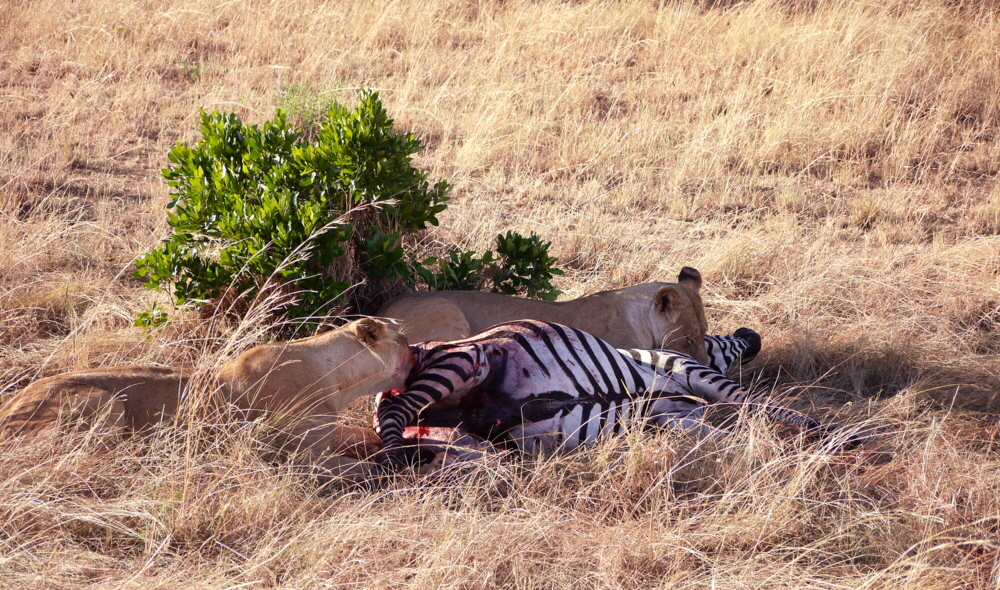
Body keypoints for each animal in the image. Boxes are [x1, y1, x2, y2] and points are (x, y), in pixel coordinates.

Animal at [375, 320, 830, 470]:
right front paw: (829, 438)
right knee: (397, 407)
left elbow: (726, 436)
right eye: (714, 338)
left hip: (468, 437)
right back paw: (394, 459)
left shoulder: (673, 421)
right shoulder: (688, 367)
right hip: (469, 356)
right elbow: (759, 403)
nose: (753, 335)